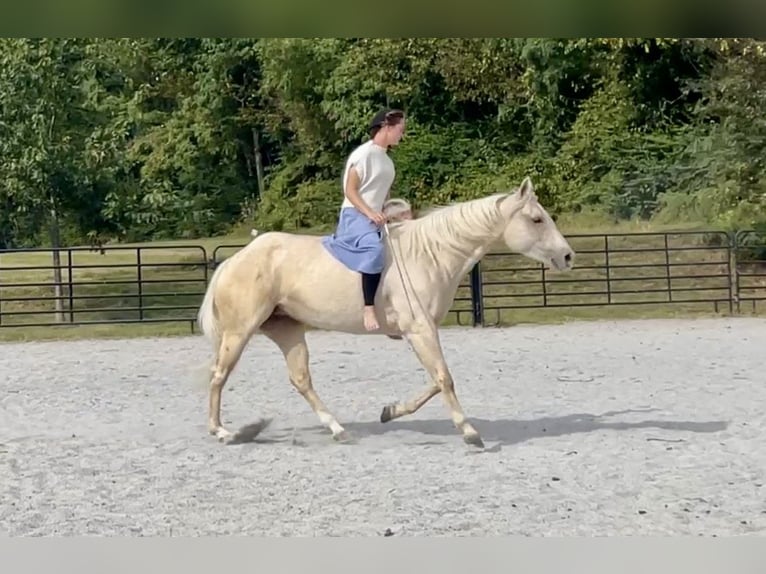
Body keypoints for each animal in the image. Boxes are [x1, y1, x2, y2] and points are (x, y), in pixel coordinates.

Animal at [196, 176, 575, 448]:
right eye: (537, 219)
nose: (568, 256)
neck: (430, 254)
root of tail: (233, 260)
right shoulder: (420, 330)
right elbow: (444, 378)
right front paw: (469, 432)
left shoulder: (420, 332)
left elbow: (436, 380)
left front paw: (390, 412)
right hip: (239, 332)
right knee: (218, 375)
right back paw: (222, 432)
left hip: (287, 330)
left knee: (300, 379)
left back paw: (337, 429)